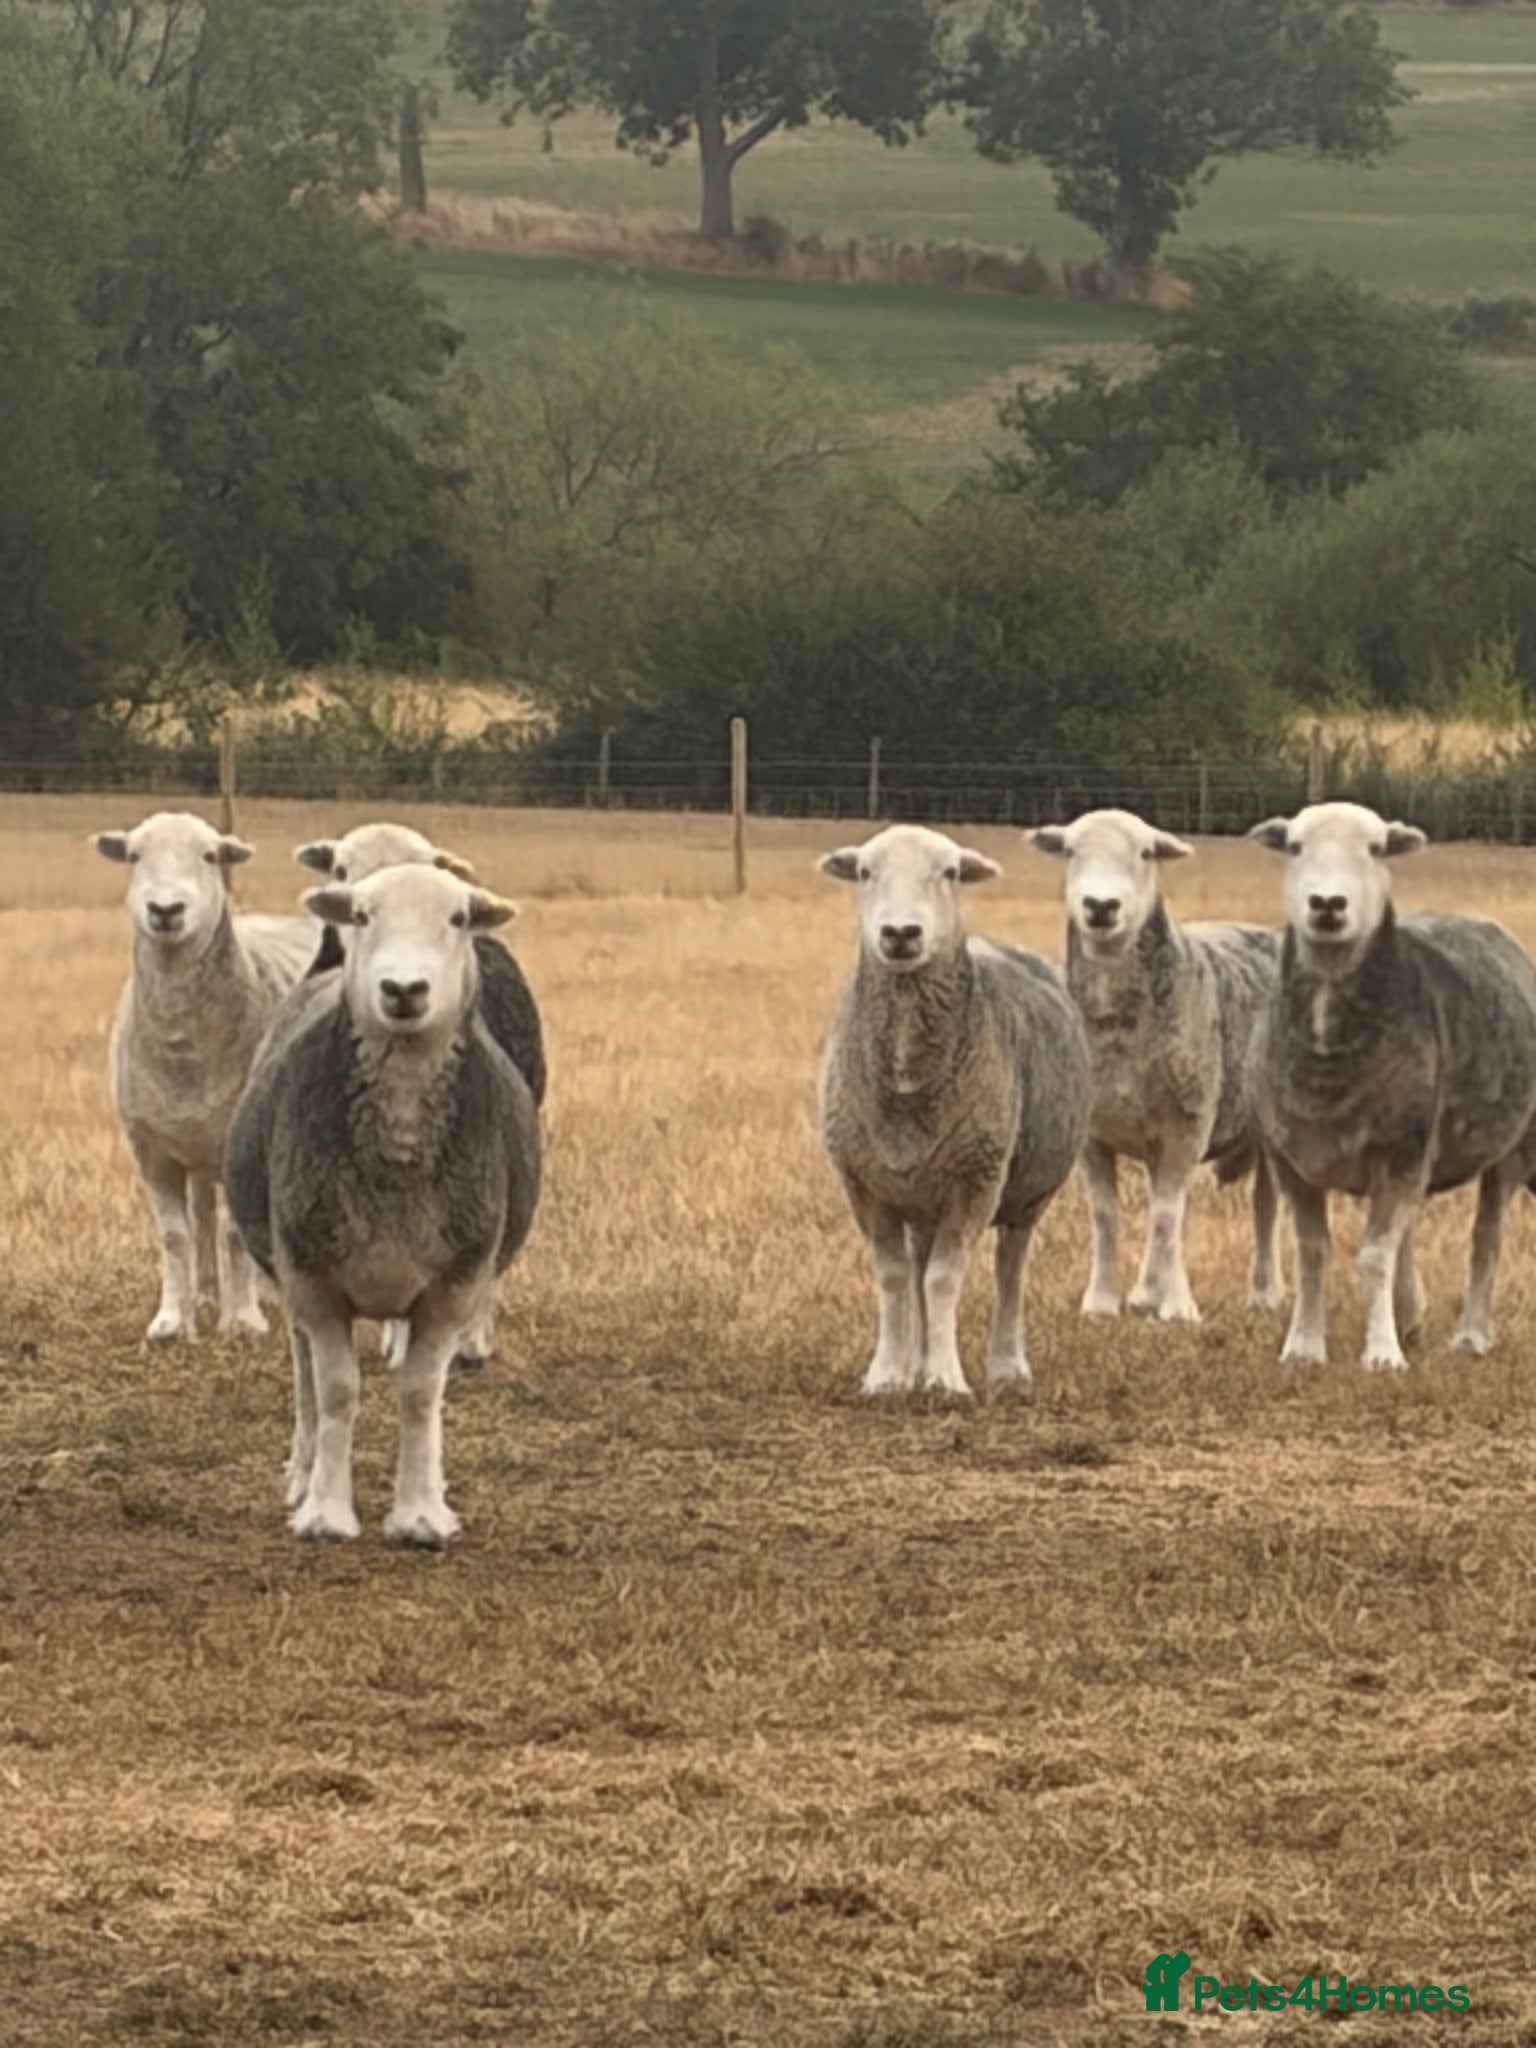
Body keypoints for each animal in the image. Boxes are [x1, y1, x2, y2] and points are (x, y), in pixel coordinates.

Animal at [93, 811, 314, 1342]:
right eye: (134, 855)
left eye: (211, 855)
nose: (165, 909)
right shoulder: (150, 1147)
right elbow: (176, 1234)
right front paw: (173, 1321)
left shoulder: (242, 1144)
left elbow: (236, 1233)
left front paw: (244, 1321)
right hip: (197, 1147)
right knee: (203, 1216)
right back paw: (208, 1294)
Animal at [817, 825, 1090, 1397]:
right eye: (864, 872)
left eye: (950, 873)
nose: (901, 933)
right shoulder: (865, 1184)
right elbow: (896, 1277)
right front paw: (888, 1375)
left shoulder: (975, 1180)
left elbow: (944, 1279)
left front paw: (945, 1380)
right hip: (923, 1192)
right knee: (920, 1267)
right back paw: (915, 1363)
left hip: (1026, 1194)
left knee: (1010, 1269)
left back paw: (1007, 1366)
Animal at [1030, 808, 1283, 1322]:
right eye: (1070, 850)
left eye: (1146, 852)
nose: (1100, 905)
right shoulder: (1093, 1137)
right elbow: (1108, 1216)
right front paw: (1102, 1301)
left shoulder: (1186, 1125)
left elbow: (1168, 1215)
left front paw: (1179, 1308)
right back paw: (1147, 1290)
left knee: (1264, 1206)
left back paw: (1266, 1293)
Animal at [1248, 801, 1536, 1371]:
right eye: (1294, 846)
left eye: (1376, 848)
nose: (1328, 903)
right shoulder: (1292, 1158)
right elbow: (1313, 1252)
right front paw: (1304, 1346)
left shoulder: (1400, 1148)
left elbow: (1373, 1256)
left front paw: (1382, 1354)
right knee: (1414, 1229)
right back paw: (1410, 1312)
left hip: (1509, 1147)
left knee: (1486, 1241)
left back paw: (1470, 1336)